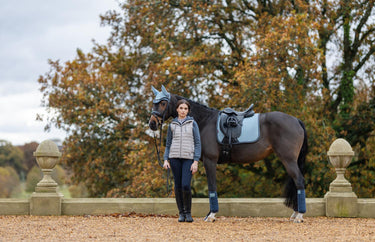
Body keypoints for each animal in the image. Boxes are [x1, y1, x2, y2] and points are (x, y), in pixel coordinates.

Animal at [148, 85, 310, 223]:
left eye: (163, 103)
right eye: (154, 103)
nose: (152, 124)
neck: (205, 122)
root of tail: (296, 120)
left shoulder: (210, 161)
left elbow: (212, 186)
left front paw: (211, 215)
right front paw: (209, 214)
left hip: (288, 159)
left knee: (299, 180)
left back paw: (299, 216)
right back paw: (296, 213)